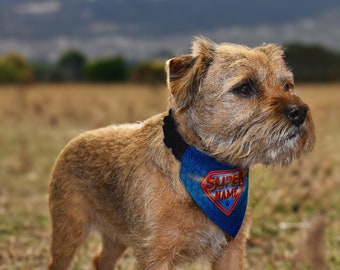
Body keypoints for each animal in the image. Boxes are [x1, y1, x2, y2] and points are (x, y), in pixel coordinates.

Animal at [46, 36, 314, 270]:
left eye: (287, 85)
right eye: (244, 88)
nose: (299, 111)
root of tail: (74, 141)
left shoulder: (231, 249)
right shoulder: (155, 254)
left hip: (115, 236)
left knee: (100, 260)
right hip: (68, 232)